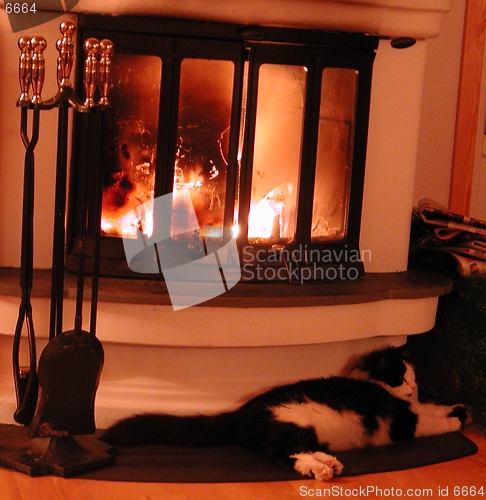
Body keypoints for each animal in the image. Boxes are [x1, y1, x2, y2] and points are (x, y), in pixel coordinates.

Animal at [101, 346, 468, 482]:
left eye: (414, 376)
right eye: (401, 377)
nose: (413, 386)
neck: (379, 387)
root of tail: (238, 414)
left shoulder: (412, 408)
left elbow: (432, 407)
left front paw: (462, 409)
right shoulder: (403, 420)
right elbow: (433, 421)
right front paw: (456, 418)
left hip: (305, 431)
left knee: (300, 451)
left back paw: (330, 463)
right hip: (290, 424)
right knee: (284, 456)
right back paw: (321, 471)